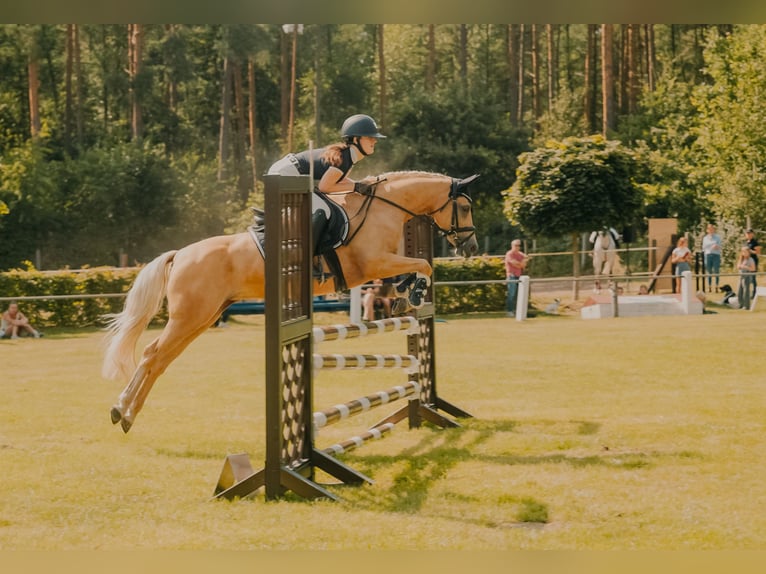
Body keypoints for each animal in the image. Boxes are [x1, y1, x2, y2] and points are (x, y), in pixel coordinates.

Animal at [103, 173, 480, 434]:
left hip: (202, 318)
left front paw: (407, 296)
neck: (383, 210)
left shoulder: (382, 265)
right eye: (464, 207)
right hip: (189, 318)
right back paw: (121, 409)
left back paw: (128, 414)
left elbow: (412, 271)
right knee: (152, 354)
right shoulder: (373, 263)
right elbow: (424, 265)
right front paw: (414, 294)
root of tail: (180, 254)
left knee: (161, 360)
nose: (471, 247)